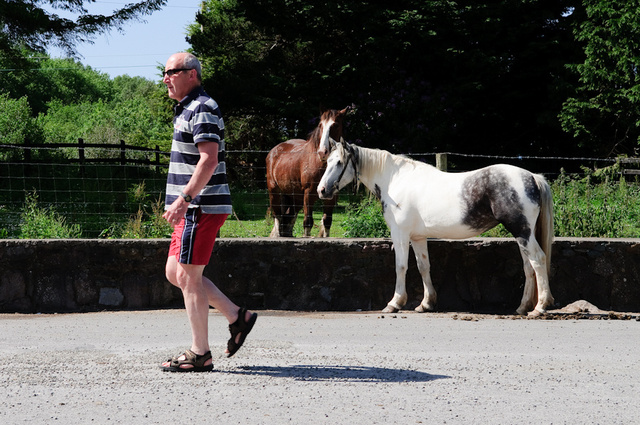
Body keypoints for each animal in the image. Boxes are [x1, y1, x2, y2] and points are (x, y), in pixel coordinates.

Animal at [268, 106, 352, 237]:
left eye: (336, 125)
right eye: (320, 125)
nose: (323, 152)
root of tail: (274, 151)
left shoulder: (332, 197)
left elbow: (327, 222)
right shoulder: (308, 195)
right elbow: (307, 222)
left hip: (294, 197)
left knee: (289, 219)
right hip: (274, 192)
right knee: (278, 217)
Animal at [318, 143, 552, 314]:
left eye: (339, 162)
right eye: (327, 161)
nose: (321, 190)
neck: (395, 181)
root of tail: (532, 177)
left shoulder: (400, 234)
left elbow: (400, 267)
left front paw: (395, 303)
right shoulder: (418, 238)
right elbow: (424, 267)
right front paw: (426, 303)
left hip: (522, 232)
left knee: (538, 260)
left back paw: (540, 307)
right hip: (523, 234)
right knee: (528, 266)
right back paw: (523, 307)